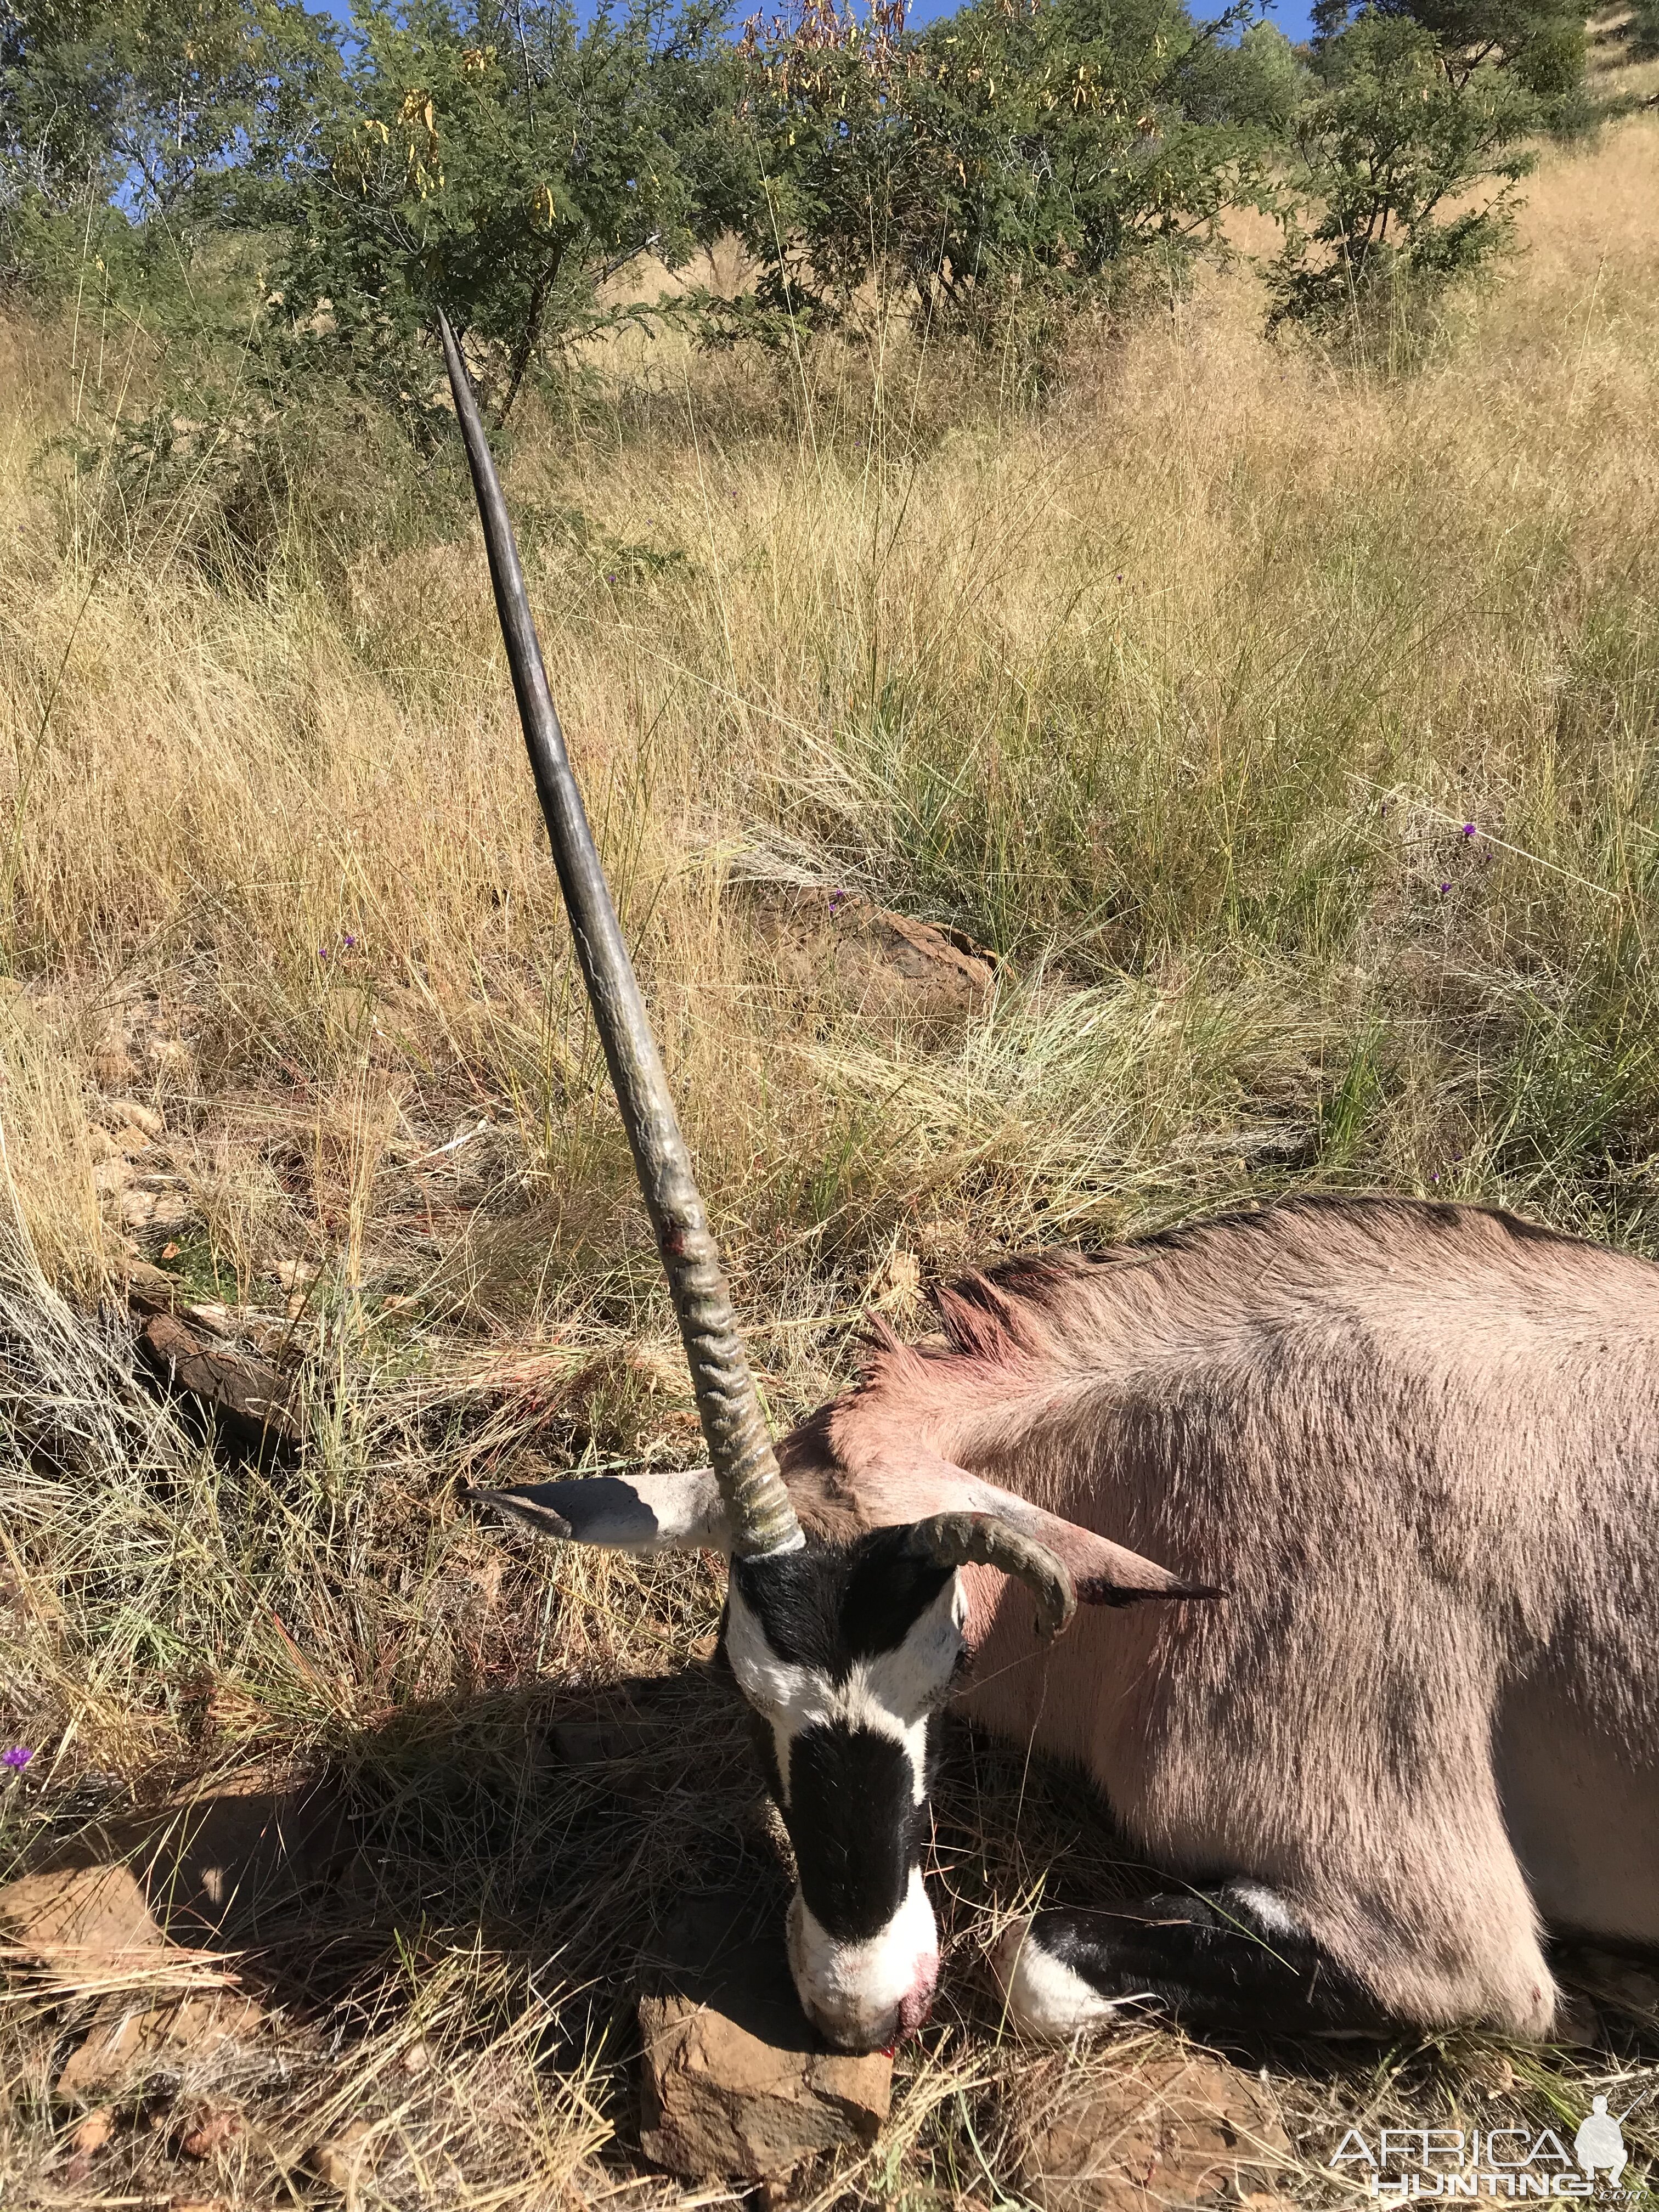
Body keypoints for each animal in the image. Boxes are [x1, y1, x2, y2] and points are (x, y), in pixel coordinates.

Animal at [438, 323, 1659, 2052]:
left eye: (942, 1671)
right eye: (745, 1689)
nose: (860, 2003)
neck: (1188, 1491)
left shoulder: (1454, 1946)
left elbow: (1037, 1964)